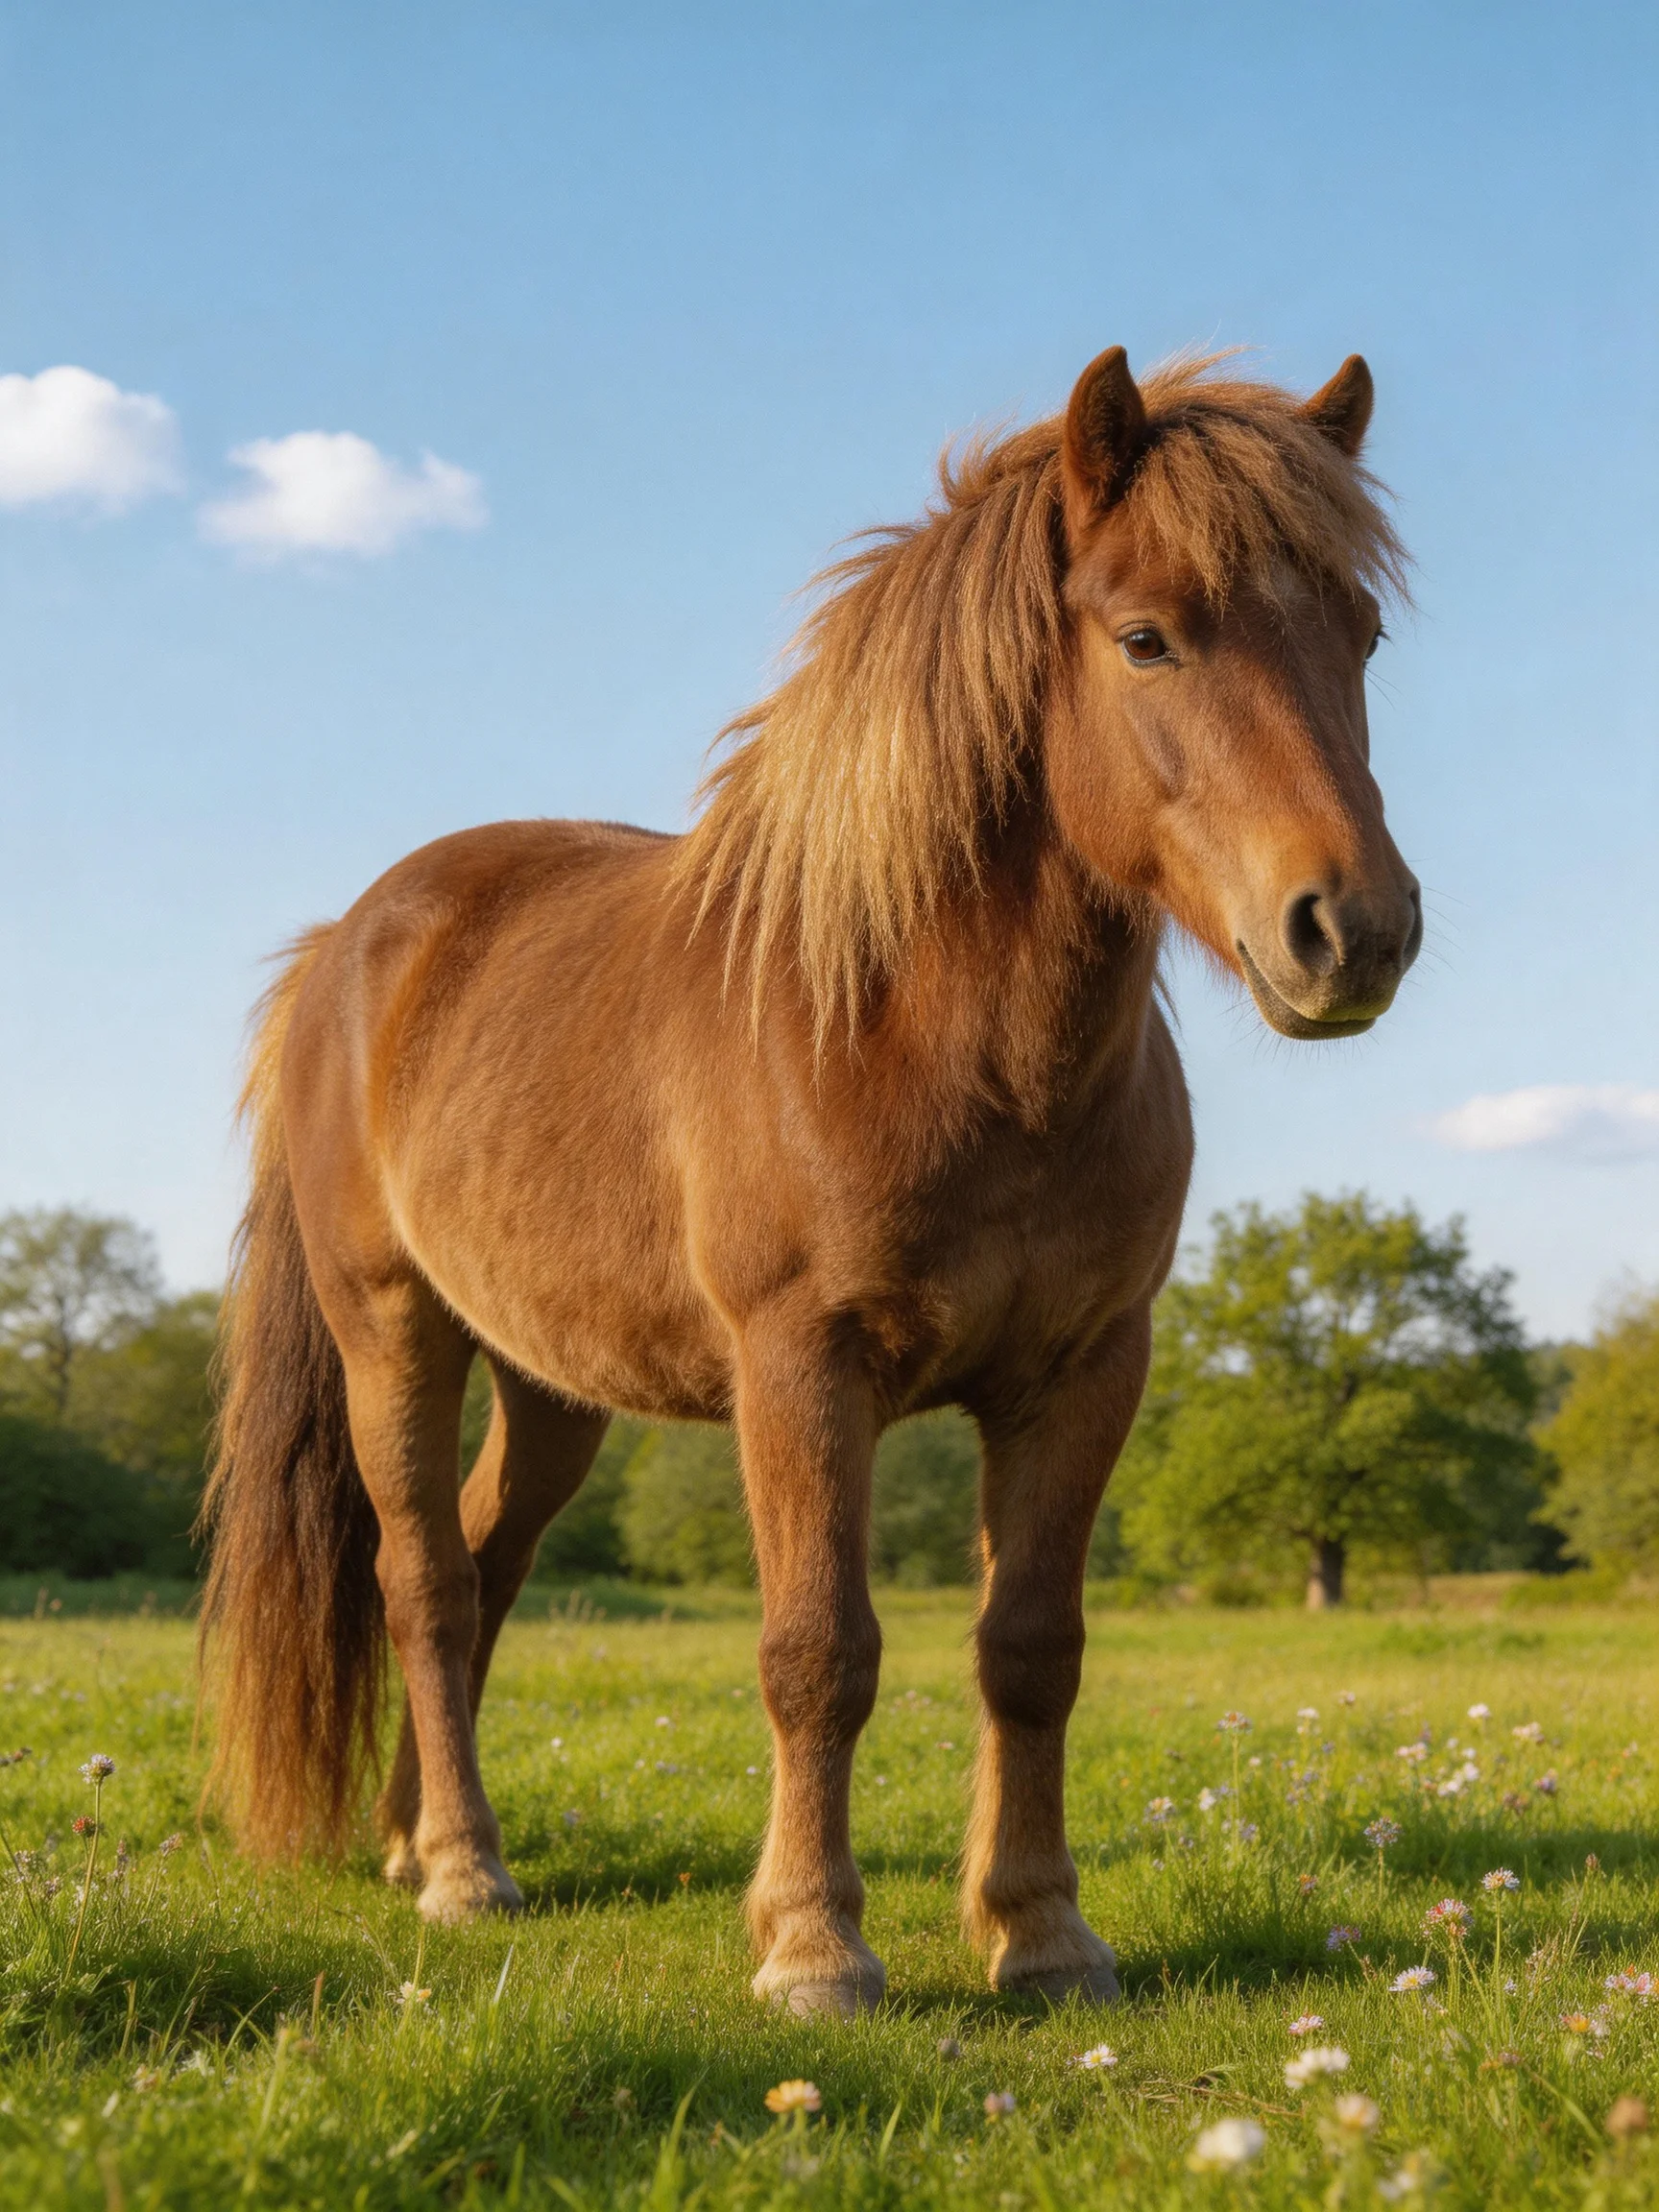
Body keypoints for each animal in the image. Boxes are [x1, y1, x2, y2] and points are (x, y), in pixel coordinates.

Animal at [200, 344, 1420, 2018]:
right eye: (1148, 637)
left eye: (1361, 633)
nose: (1353, 931)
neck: (931, 1036)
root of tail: (350, 948)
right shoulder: (799, 1367)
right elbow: (817, 1653)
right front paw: (814, 1946)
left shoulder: (1084, 1370)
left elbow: (1031, 1647)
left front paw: (1041, 1934)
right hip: (394, 1330)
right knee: (423, 1580)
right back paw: (461, 1869)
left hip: (551, 1385)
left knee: (485, 1562)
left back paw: (410, 1838)